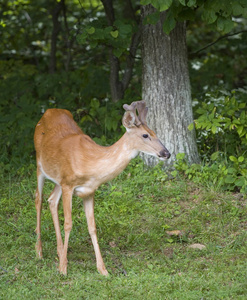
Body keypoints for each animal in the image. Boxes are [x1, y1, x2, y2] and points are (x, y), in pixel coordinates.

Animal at [34, 100, 170, 274]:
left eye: (155, 133)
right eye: (145, 135)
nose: (166, 153)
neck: (91, 164)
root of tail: (49, 110)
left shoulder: (88, 191)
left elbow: (92, 226)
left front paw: (103, 269)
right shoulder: (68, 185)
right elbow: (68, 224)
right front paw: (63, 269)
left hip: (58, 178)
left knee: (51, 200)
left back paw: (59, 251)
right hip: (40, 165)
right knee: (38, 199)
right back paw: (39, 252)